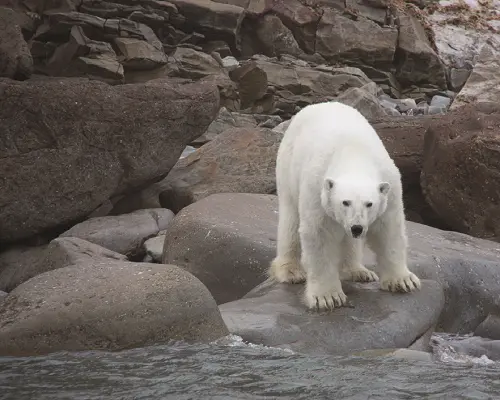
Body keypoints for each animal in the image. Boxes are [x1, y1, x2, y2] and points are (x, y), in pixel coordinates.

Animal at [268, 101, 420, 310]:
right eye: (345, 202)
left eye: (369, 204)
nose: (357, 227)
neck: (353, 154)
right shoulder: (317, 190)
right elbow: (320, 235)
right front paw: (327, 297)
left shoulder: (391, 188)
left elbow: (389, 231)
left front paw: (403, 281)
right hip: (288, 167)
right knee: (290, 219)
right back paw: (291, 271)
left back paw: (359, 271)